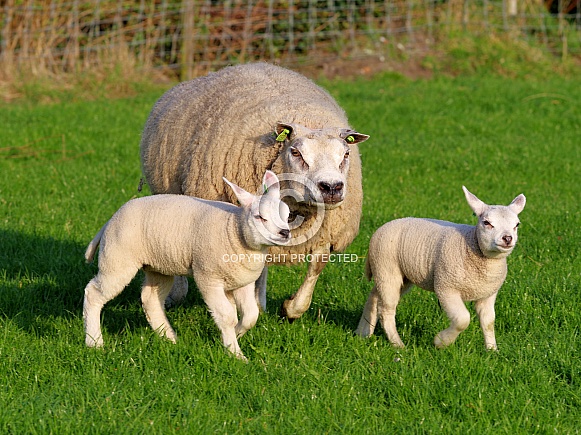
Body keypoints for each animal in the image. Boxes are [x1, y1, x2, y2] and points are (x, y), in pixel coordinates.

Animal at [82, 171, 290, 362]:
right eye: (259, 217)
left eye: (287, 215)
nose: (285, 232)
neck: (234, 229)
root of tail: (111, 219)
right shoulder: (208, 277)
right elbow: (227, 316)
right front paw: (235, 353)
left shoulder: (242, 282)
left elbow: (250, 315)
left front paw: (237, 333)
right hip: (118, 260)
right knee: (93, 293)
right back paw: (94, 342)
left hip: (158, 267)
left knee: (150, 300)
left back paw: (170, 338)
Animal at [140, 62, 368, 320]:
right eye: (296, 153)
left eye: (346, 154)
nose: (331, 187)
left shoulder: (328, 231)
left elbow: (316, 267)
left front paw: (290, 309)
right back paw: (178, 294)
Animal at [354, 187, 524, 350]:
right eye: (487, 223)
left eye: (516, 225)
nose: (507, 238)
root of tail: (380, 229)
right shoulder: (446, 288)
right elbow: (463, 319)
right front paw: (441, 342)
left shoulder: (488, 295)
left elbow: (488, 321)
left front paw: (492, 350)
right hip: (386, 268)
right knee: (386, 309)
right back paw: (398, 345)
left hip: (400, 276)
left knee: (375, 296)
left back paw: (363, 332)